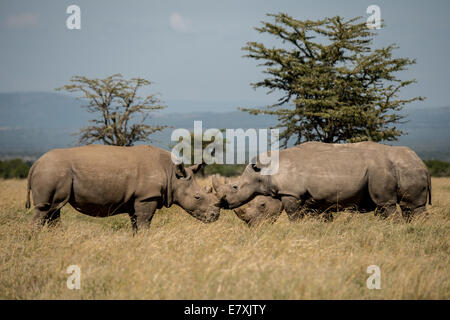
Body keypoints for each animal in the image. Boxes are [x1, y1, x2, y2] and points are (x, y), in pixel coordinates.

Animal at [25, 146, 220, 232]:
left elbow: (136, 223)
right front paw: (145, 240)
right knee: (44, 209)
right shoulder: (146, 197)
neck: (172, 175)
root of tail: (35, 164)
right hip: (51, 172)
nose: (215, 216)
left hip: (52, 172)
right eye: (197, 197)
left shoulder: (136, 200)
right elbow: (145, 222)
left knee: (54, 209)